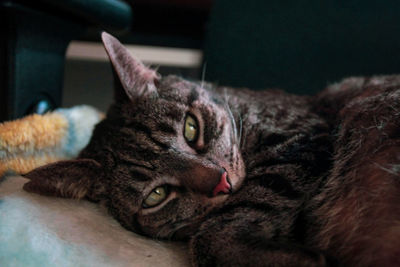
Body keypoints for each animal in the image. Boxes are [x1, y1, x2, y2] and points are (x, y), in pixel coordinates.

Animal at [21, 32, 400, 266]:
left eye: (191, 129)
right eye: (156, 195)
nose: (221, 183)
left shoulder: (301, 137)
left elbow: (218, 230)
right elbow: (210, 234)